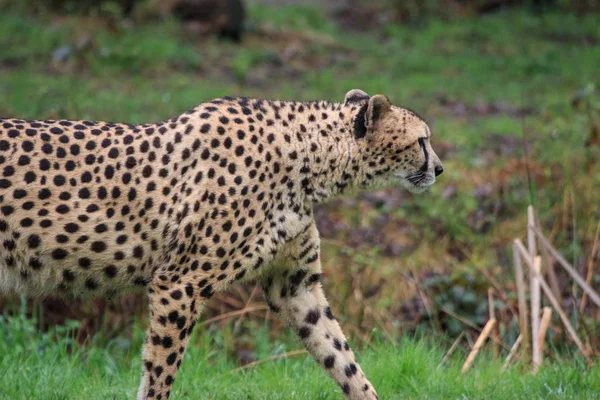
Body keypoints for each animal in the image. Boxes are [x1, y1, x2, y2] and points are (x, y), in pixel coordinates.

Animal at [0, 90, 440, 400]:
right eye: (422, 141)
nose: (439, 167)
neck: (310, 161)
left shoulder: (295, 287)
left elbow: (342, 358)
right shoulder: (180, 284)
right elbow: (159, 370)